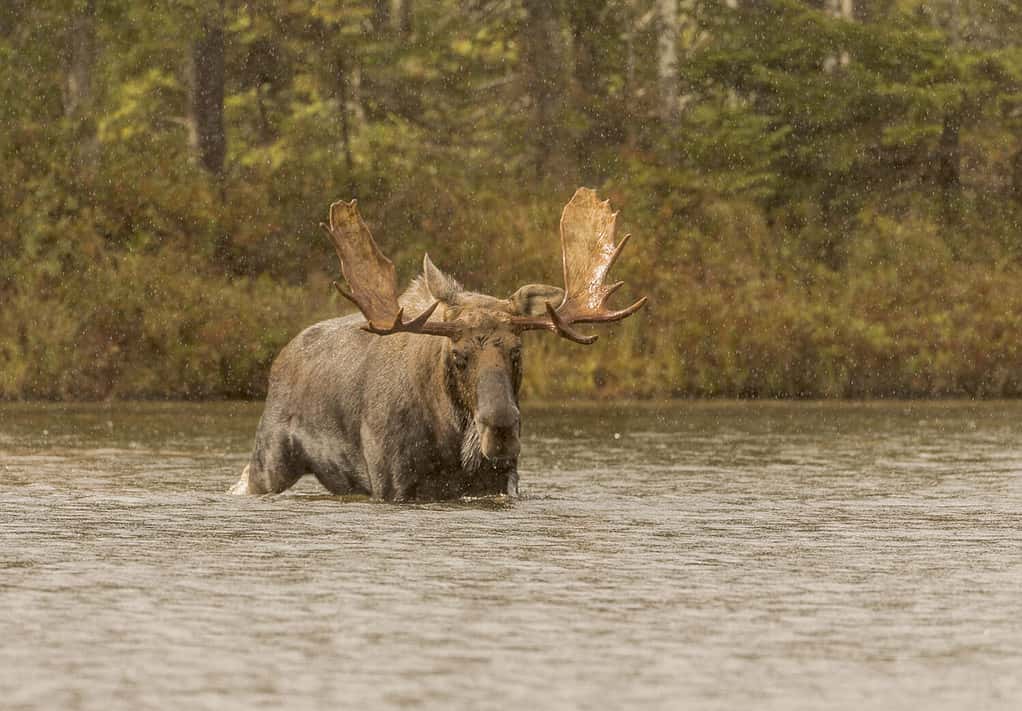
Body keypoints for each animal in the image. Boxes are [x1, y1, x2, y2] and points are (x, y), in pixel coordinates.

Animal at [230, 188, 645, 500]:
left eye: (516, 350)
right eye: (459, 355)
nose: (501, 428)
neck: (451, 444)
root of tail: (281, 357)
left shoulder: (498, 481)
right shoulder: (392, 482)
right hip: (269, 460)